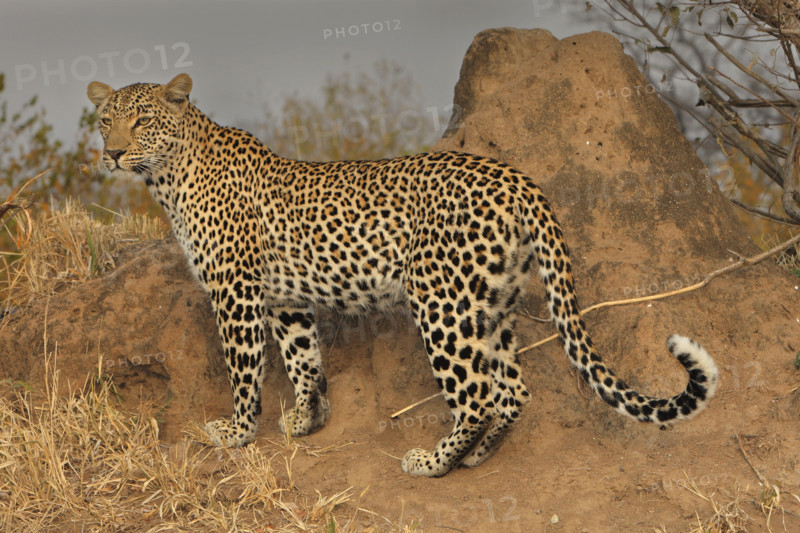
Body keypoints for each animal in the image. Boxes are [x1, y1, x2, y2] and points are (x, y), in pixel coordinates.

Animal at [87, 73, 719, 477]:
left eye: (140, 121)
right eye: (105, 121)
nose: (112, 153)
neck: (170, 177)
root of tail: (518, 179)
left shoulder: (235, 292)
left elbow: (244, 369)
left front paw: (238, 431)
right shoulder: (286, 298)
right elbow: (303, 359)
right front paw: (307, 420)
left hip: (440, 302)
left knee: (477, 394)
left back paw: (433, 463)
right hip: (491, 302)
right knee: (512, 390)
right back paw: (476, 456)